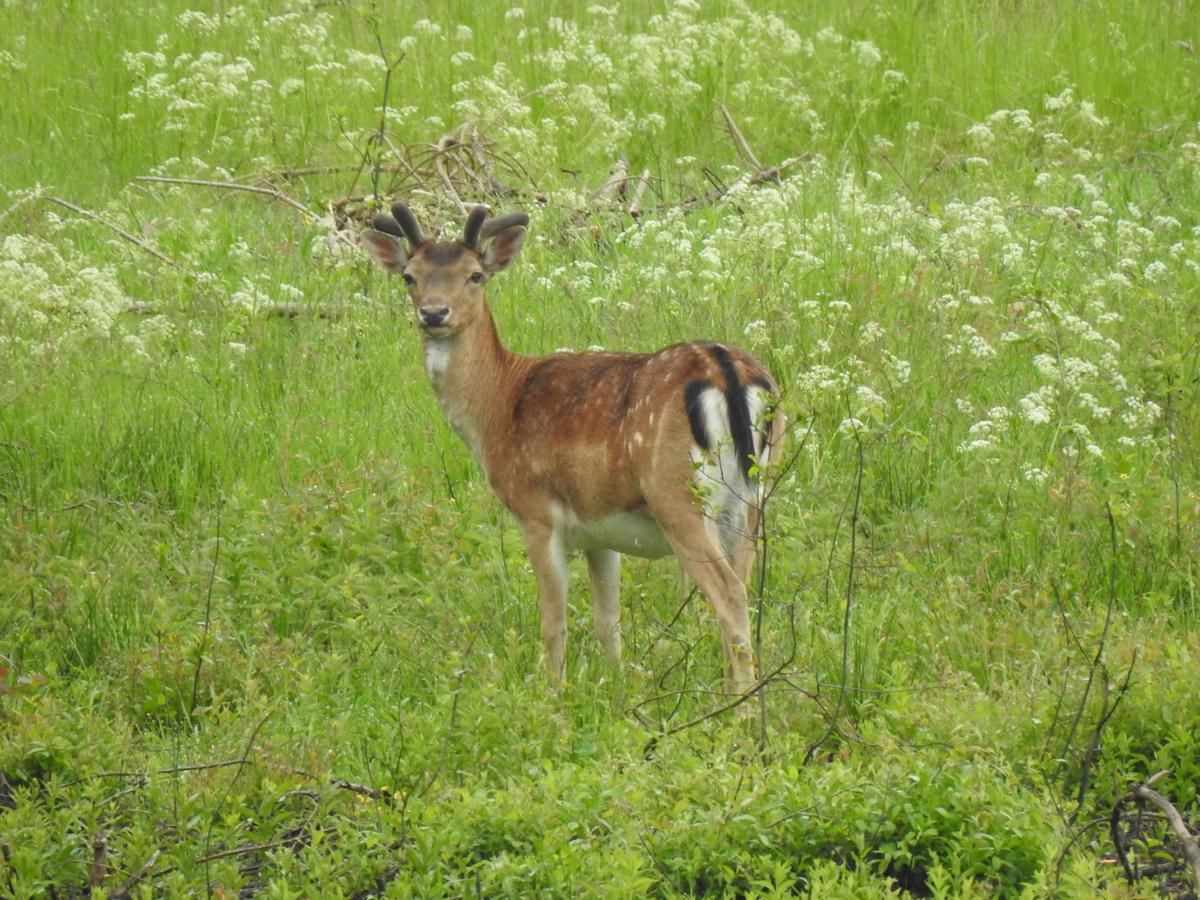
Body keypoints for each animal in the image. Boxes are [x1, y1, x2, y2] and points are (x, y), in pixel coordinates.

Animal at [360, 204, 782, 696]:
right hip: (753, 497)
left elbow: (553, 622)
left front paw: (552, 695)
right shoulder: (601, 528)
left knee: (729, 593)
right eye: (409, 276)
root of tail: (729, 372)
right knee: (745, 587)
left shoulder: (536, 512)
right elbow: (608, 620)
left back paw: (740, 707)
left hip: (676, 495)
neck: (498, 406)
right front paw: (616, 689)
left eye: (475, 275)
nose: (433, 312)